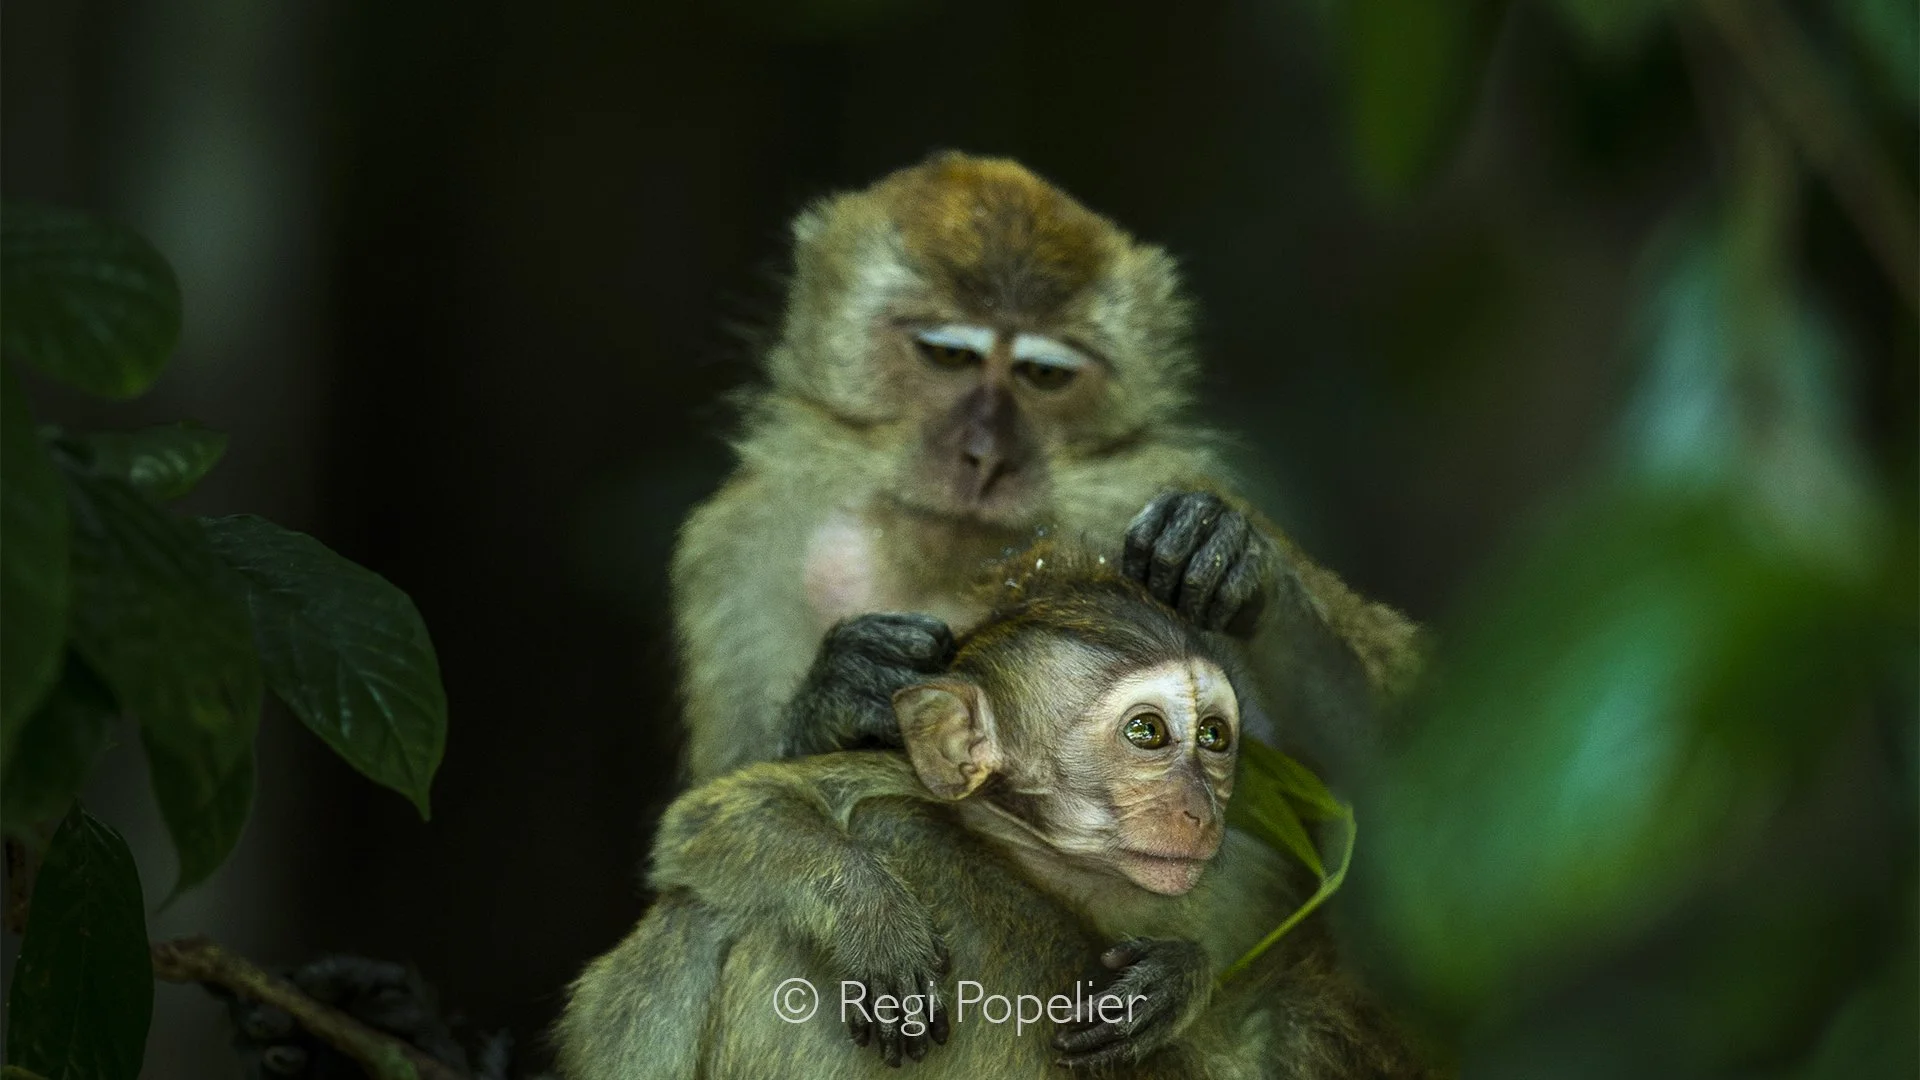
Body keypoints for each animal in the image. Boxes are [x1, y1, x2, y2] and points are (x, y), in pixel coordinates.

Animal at [559, 542, 1427, 1079]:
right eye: (1148, 733)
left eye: (1214, 737)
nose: (1199, 806)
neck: (1061, 863)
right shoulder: (899, 775)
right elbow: (715, 819)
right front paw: (873, 916)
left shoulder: (1246, 872)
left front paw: (1175, 982)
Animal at [672, 151, 1419, 786]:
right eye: (949, 356)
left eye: (1044, 375)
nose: (986, 457)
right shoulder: (742, 546)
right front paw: (837, 693)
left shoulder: (1146, 488)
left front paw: (1235, 554)